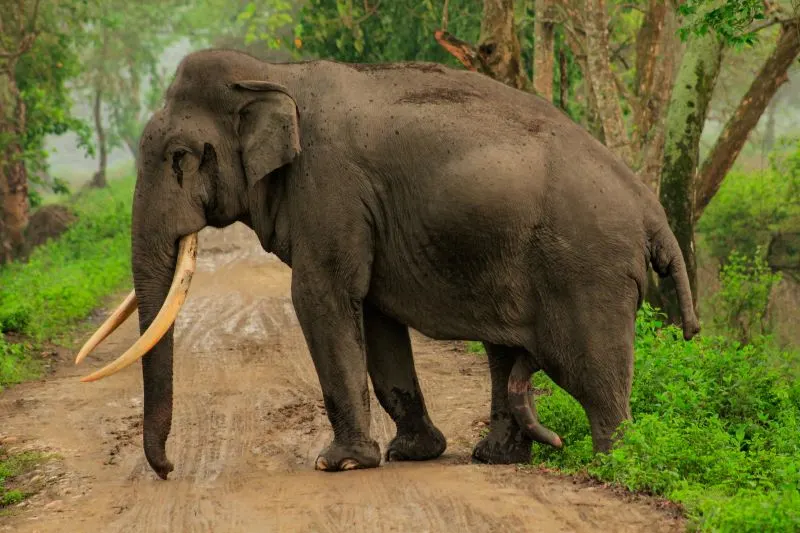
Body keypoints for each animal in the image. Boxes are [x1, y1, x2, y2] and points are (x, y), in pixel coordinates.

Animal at [75, 48, 699, 480]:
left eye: (180, 156)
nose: (168, 470)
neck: (274, 73)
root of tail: (652, 210)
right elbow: (373, 313)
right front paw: (414, 454)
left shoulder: (329, 187)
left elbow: (321, 296)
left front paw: (340, 464)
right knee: (507, 354)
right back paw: (496, 458)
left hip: (589, 270)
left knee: (591, 372)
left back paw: (614, 465)